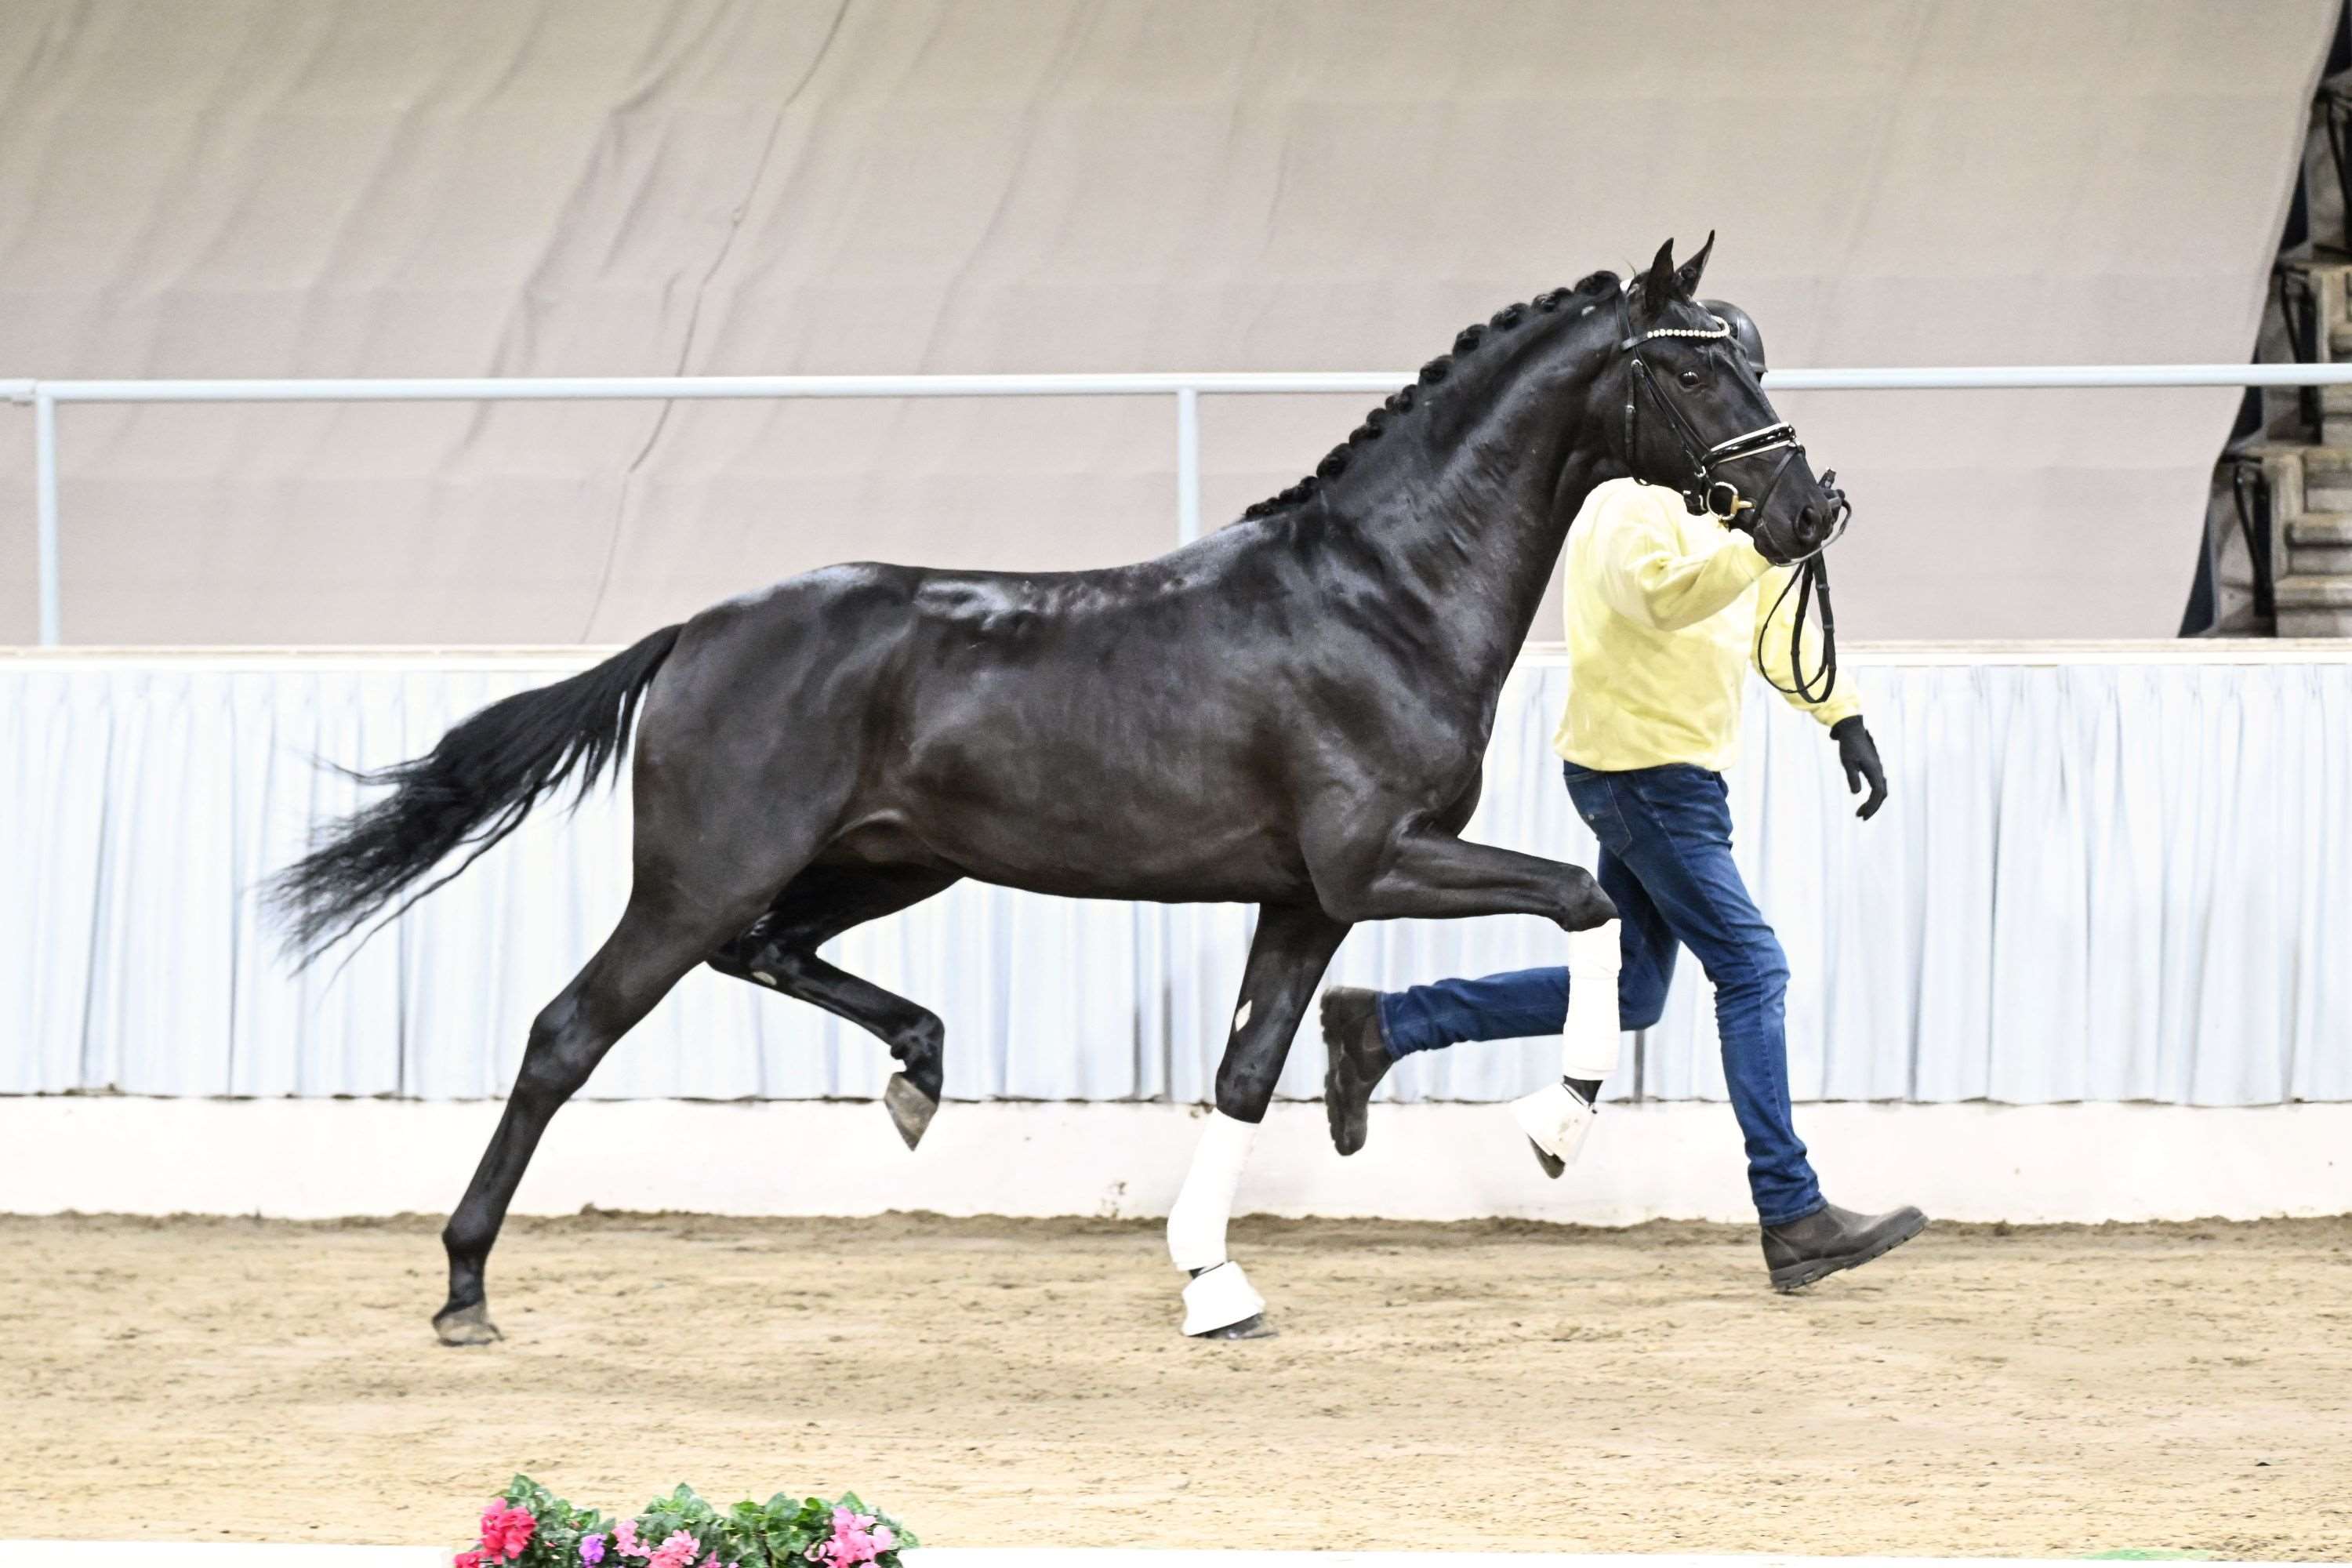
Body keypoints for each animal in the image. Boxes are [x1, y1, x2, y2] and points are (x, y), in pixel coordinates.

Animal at [270, 235, 1848, 1344]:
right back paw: (465, 1288)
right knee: (566, 1033)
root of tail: (699, 631)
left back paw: (918, 1073)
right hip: (704, 872)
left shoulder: (1304, 898)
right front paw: (1555, 1124)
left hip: (885, 862)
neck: (1381, 595)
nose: (1808, 508)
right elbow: (1587, 903)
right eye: (1694, 369)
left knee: (769, 953)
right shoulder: (1375, 862)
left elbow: (1247, 1072)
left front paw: (1213, 1284)